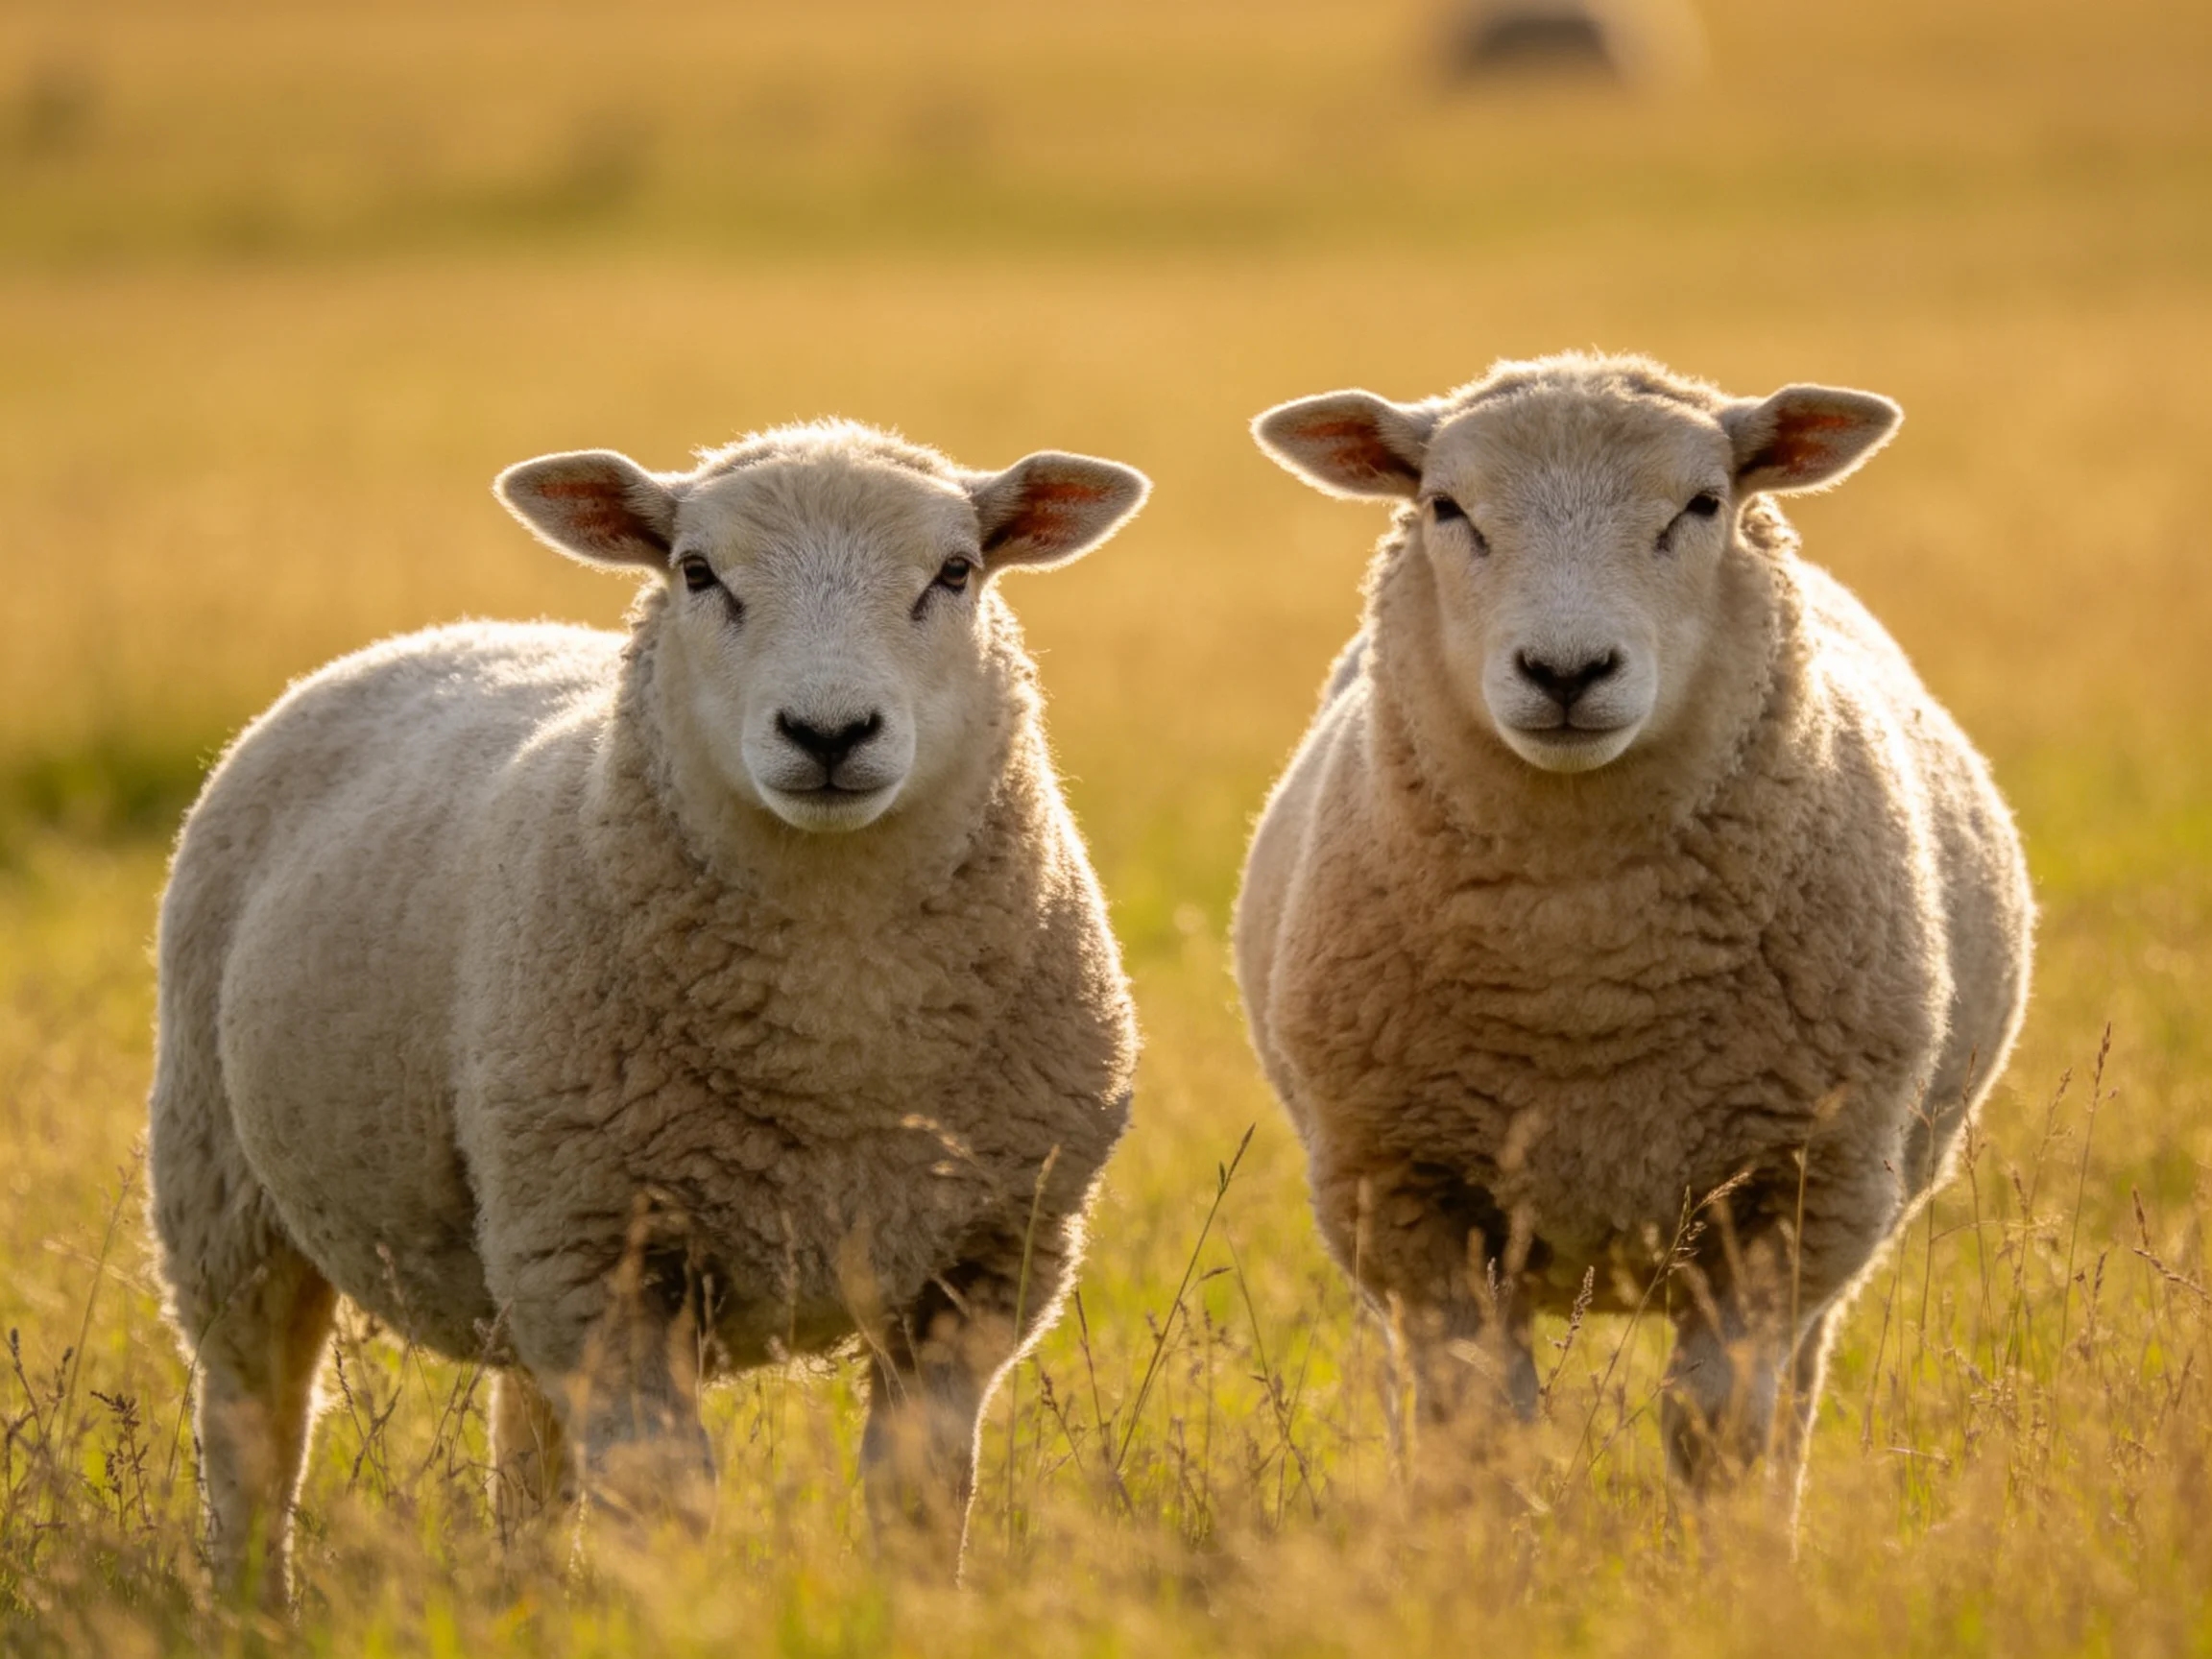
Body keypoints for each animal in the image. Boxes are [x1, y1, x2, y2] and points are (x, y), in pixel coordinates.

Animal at [146, 419, 1149, 1597]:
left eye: (956, 573)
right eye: (697, 572)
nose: (828, 731)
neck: (837, 1044)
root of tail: (443, 632)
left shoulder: (984, 1262)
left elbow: (919, 1493)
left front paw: (916, 1610)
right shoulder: (605, 1259)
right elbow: (665, 1497)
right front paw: (672, 1611)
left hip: (517, 1238)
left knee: (525, 1446)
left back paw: (525, 1602)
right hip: (226, 1184)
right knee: (255, 1429)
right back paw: (251, 1604)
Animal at [1233, 352, 2032, 1509]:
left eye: (1702, 505)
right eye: (1446, 508)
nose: (1567, 672)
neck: (1589, 973)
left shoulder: (1793, 1191)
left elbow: (1719, 1430)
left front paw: (1735, 1556)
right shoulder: (1406, 1191)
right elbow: (1481, 1431)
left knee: (1795, 1392)